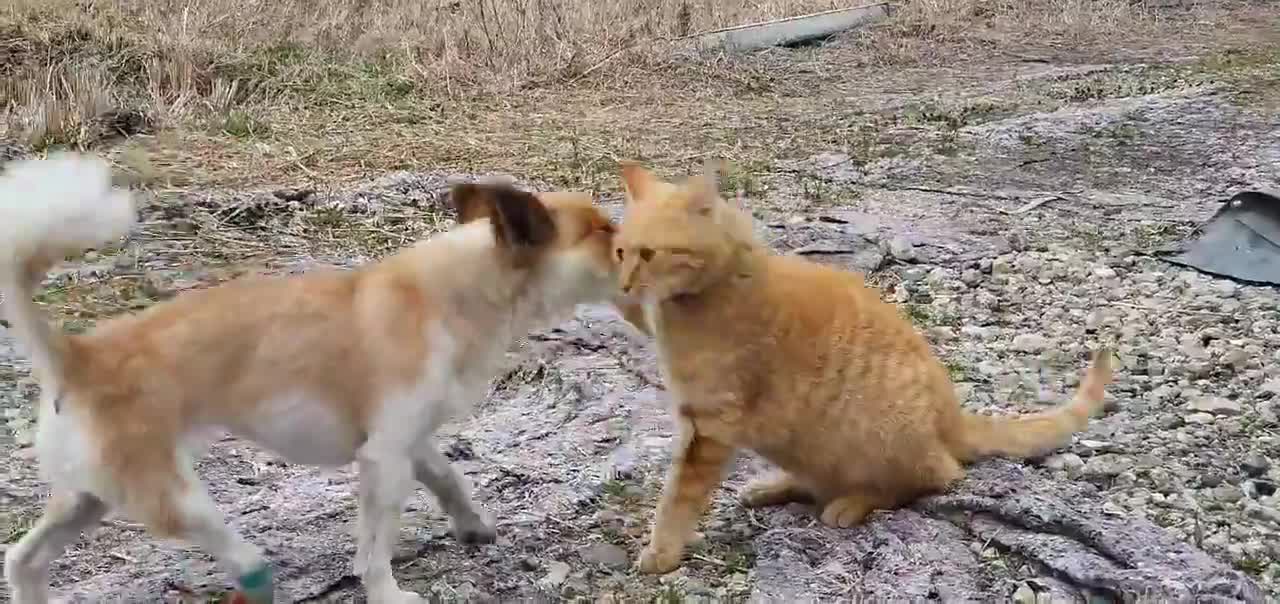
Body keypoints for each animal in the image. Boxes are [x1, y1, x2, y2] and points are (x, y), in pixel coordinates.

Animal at [0, 152, 619, 604]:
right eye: (605, 235)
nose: (635, 248)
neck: (464, 286)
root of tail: (76, 354)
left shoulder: (407, 442)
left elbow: (449, 478)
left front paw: (473, 526)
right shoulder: (385, 458)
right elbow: (375, 546)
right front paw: (388, 594)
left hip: (87, 497)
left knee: (24, 561)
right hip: (171, 495)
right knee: (220, 541)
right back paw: (252, 569)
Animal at [604, 161, 1116, 575]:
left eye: (648, 254)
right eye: (620, 252)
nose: (623, 285)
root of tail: (951, 417)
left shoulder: (709, 426)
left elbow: (678, 497)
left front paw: (662, 552)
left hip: (877, 434)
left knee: (936, 476)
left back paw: (852, 503)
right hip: (798, 442)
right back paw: (774, 486)